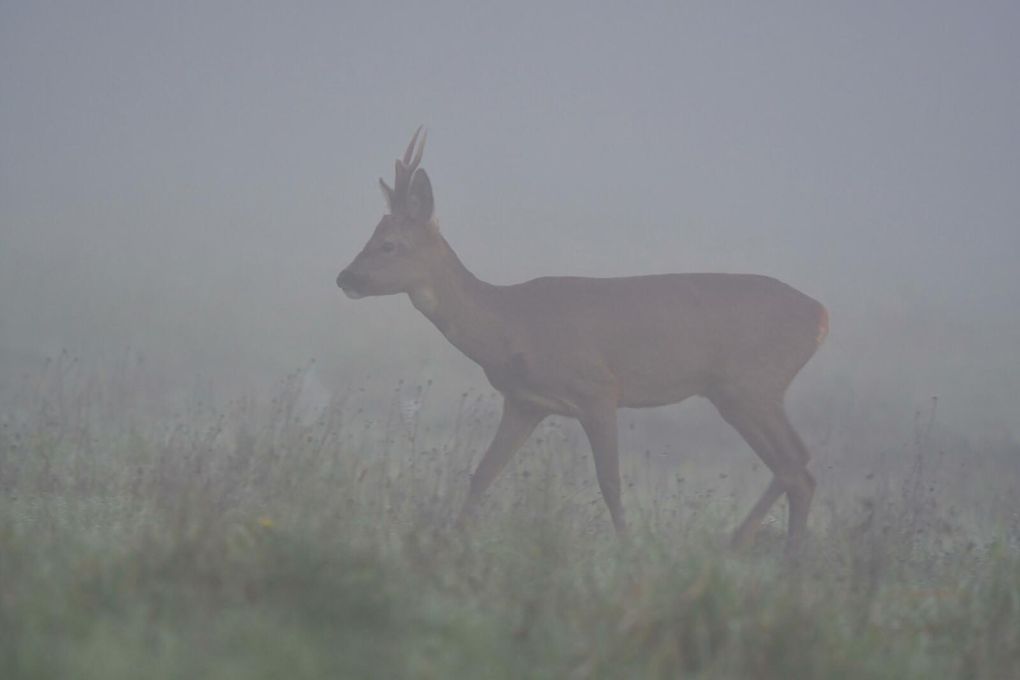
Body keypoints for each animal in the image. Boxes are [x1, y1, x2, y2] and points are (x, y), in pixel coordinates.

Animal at [338, 128, 832, 554]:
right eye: (370, 236)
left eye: (390, 244)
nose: (344, 277)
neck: (509, 325)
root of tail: (822, 315)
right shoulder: (525, 402)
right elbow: (483, 473)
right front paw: (449, 539)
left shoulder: (598, 389)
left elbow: (609, 482)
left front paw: (627, 548)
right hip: (741, 392)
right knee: (798, 467)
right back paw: (776, 553)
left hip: (750, 384)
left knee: (796, 463)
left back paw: (751, 546)